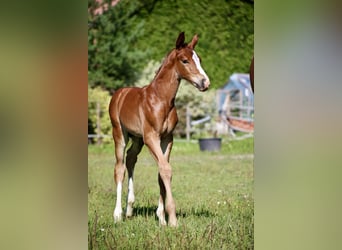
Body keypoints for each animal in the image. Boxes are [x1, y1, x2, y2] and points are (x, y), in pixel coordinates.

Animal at [108, 31, 210, 227]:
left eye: (199, 59)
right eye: (185, 60)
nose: (205, 82)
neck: (161, 99)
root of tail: (119, 93)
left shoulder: (167, 138)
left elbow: (161, 172)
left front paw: (162, 217)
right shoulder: (151, 137)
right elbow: (166, 170)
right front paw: (172, 219)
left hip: (137, 139)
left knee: (131, 159)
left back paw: (130, 209)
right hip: (120, 134)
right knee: (119, 168)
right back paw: (117, 214)